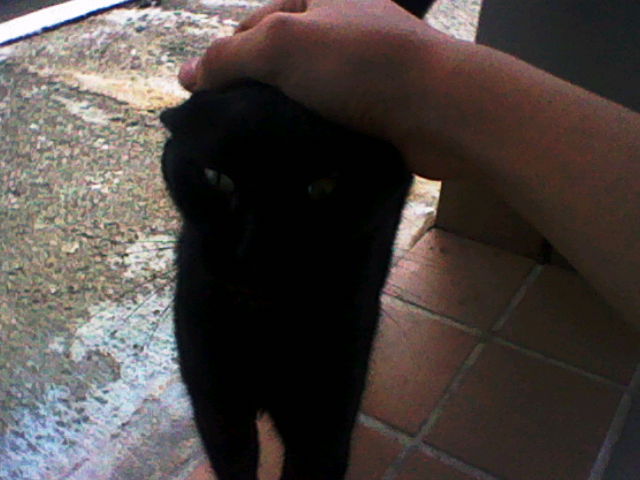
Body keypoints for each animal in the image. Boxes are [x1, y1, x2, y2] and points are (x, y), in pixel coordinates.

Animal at [159, 2, 430, 476]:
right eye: (217, 178)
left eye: (322, 187)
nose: (254, 252)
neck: (267, 327)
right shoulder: (216, 402)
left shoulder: (325, 412)